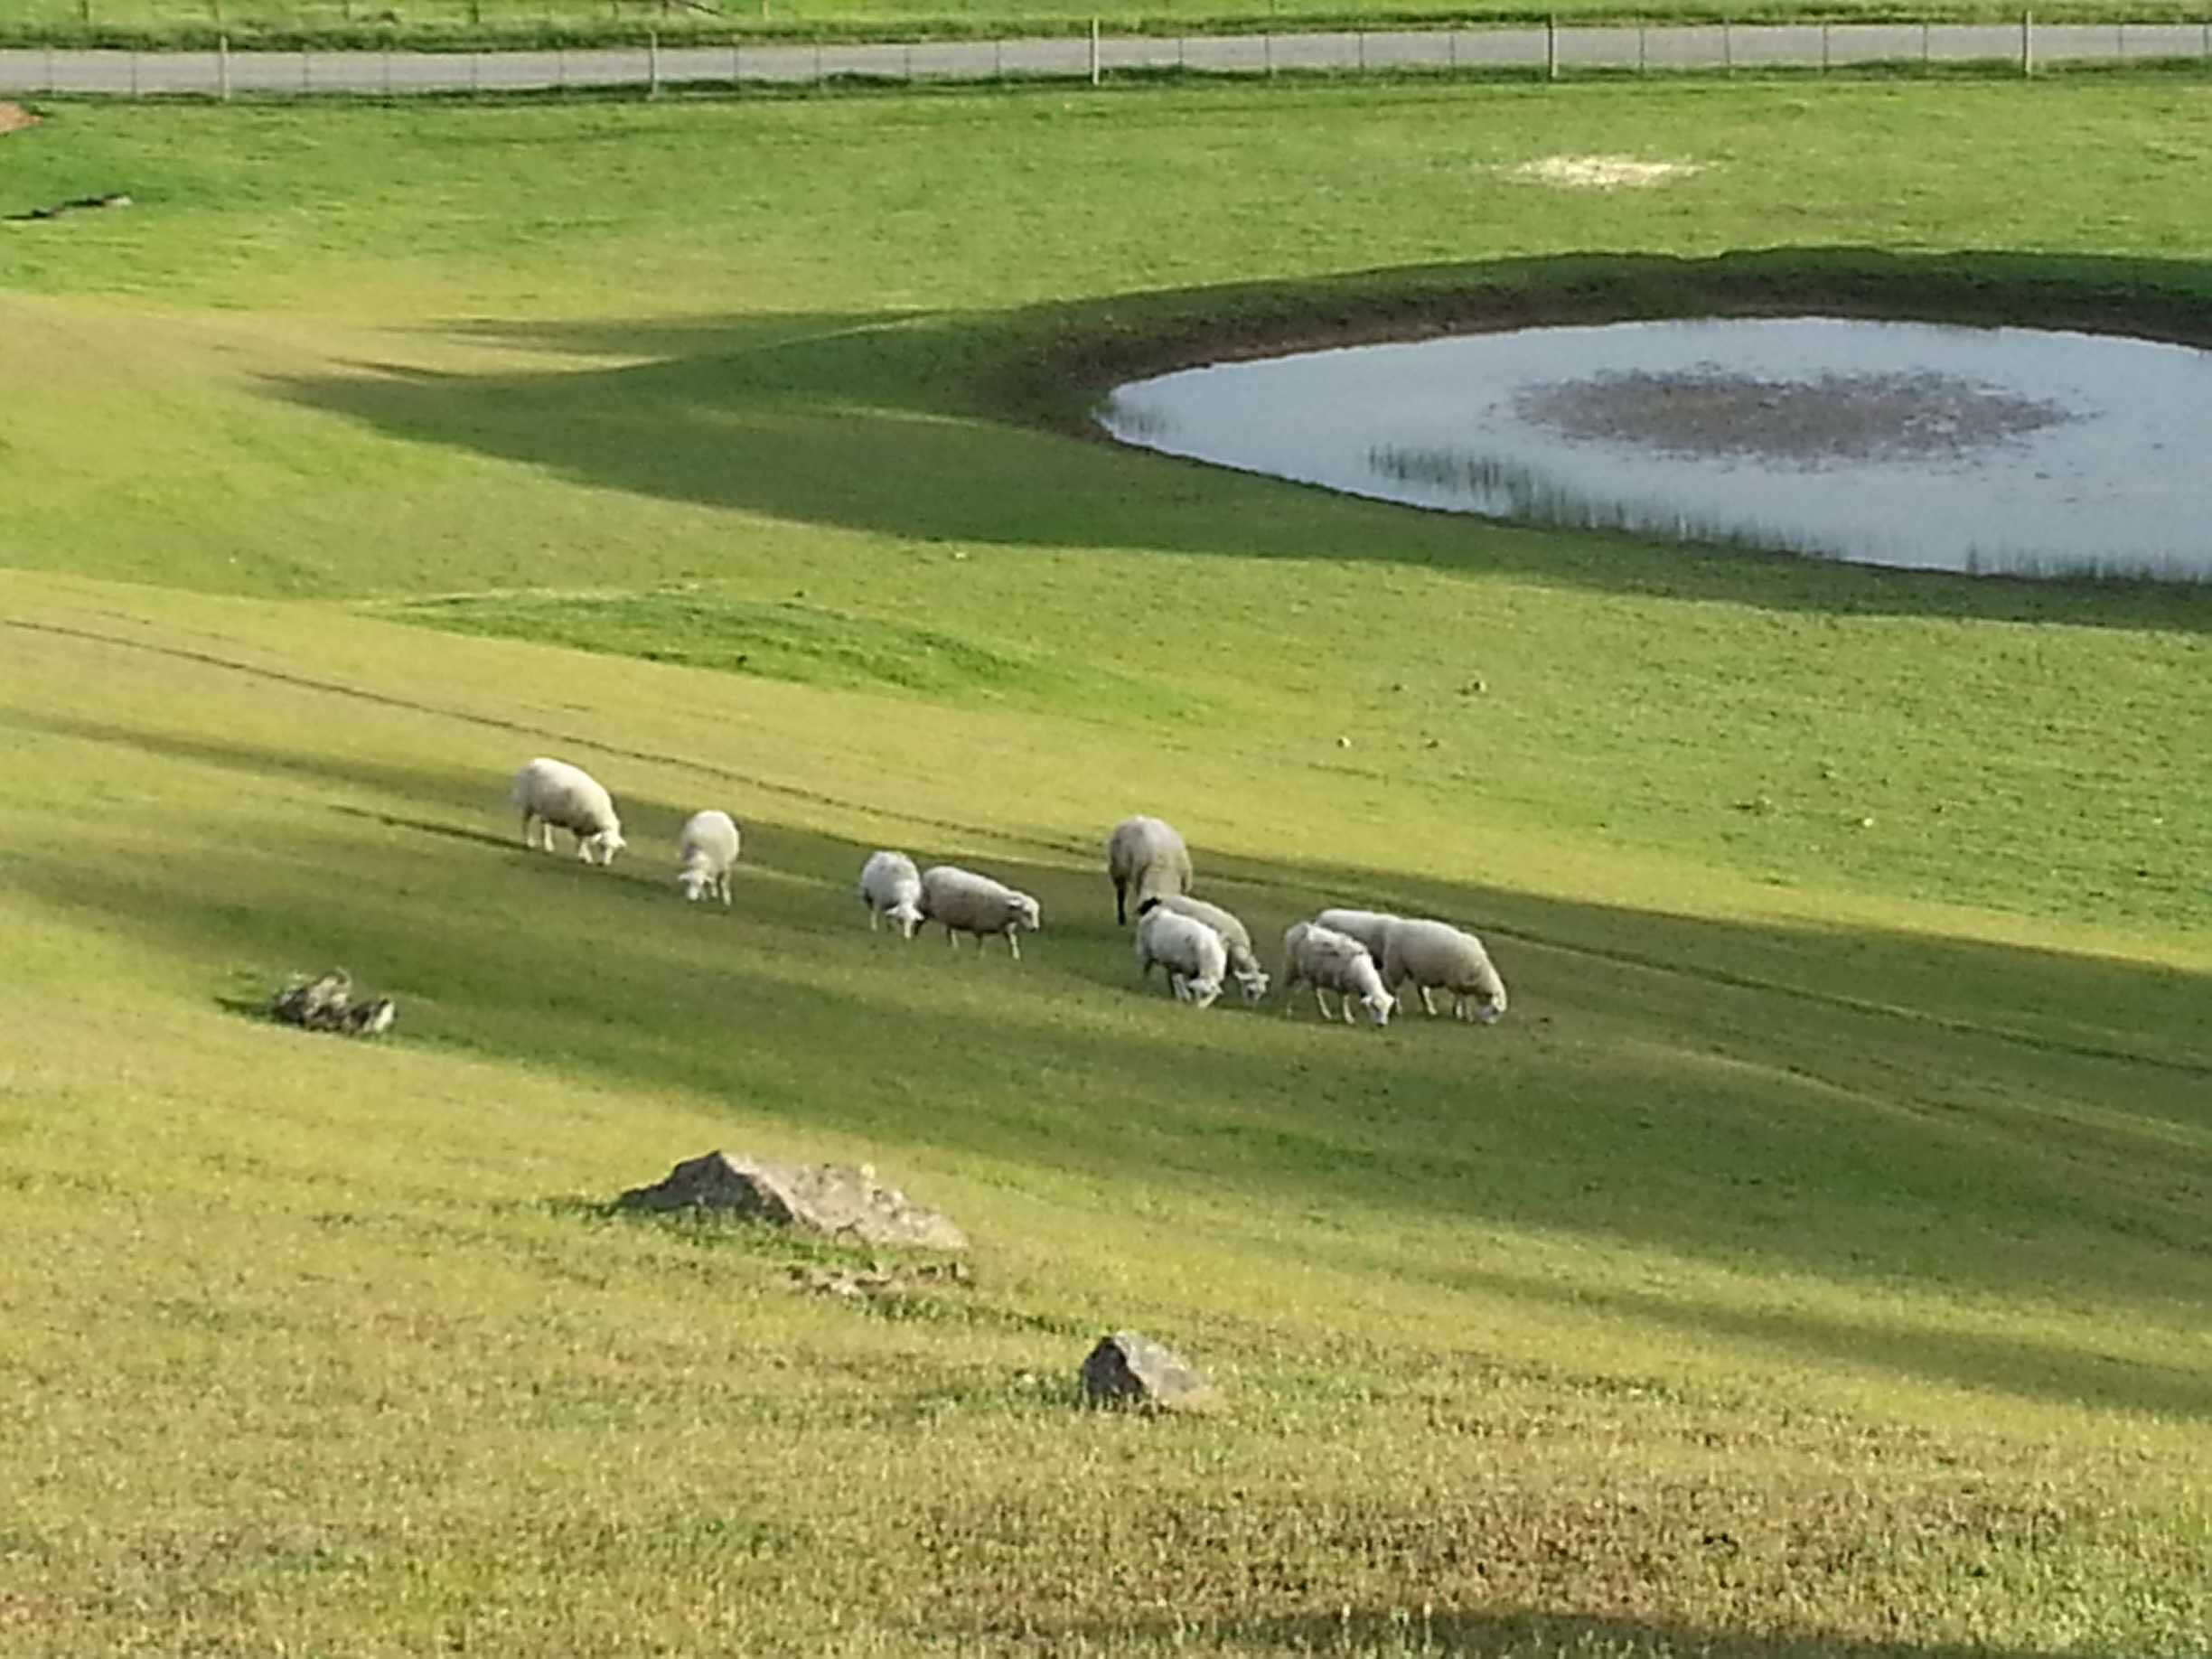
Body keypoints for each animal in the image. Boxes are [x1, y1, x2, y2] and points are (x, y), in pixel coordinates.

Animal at [919, 865, 1042, 960]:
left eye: (1036, 913)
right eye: (1026, 912)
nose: (1034, 929)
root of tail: (932, 870)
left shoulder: (1007, 929)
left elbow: (1013, 941)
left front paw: (1015, 957)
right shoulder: (979, 926)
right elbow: (981, 942)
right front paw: (981, 955)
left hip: (950, 914)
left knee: (950, 931)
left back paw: (953, 947)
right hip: (924, 906)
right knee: (919, 922)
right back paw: (916, 938)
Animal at [1381, 918, 1509, 1023]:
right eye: (1495, 1010)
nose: (1488, 1024)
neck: (1481, 972)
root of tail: (1398, 925)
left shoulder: (1459, 984)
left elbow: (1459, 999)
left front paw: (1457, 1012)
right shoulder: (1456, 981)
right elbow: (1463, 1000)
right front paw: (1466, 1016)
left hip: (1417, 971)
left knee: (1421, 991)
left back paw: (1430, 1010)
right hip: (1396, 967)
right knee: (1396, 990)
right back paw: (1398, 1009)